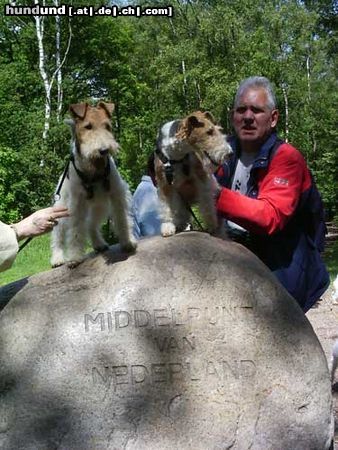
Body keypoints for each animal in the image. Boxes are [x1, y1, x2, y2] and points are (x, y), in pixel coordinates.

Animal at [50, 101, 135, 268]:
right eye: (88, 126)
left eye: (107, 126)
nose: (103, 150)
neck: (94, 171)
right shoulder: (76, 204)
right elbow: (75, 231)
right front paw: (74, 257)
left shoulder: (116, 194)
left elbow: (122, 219)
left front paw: (128, 241)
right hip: (62, 208)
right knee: (58, 235)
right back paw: (57, 258)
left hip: (99, 206)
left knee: (90, 225)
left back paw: (99, 244)